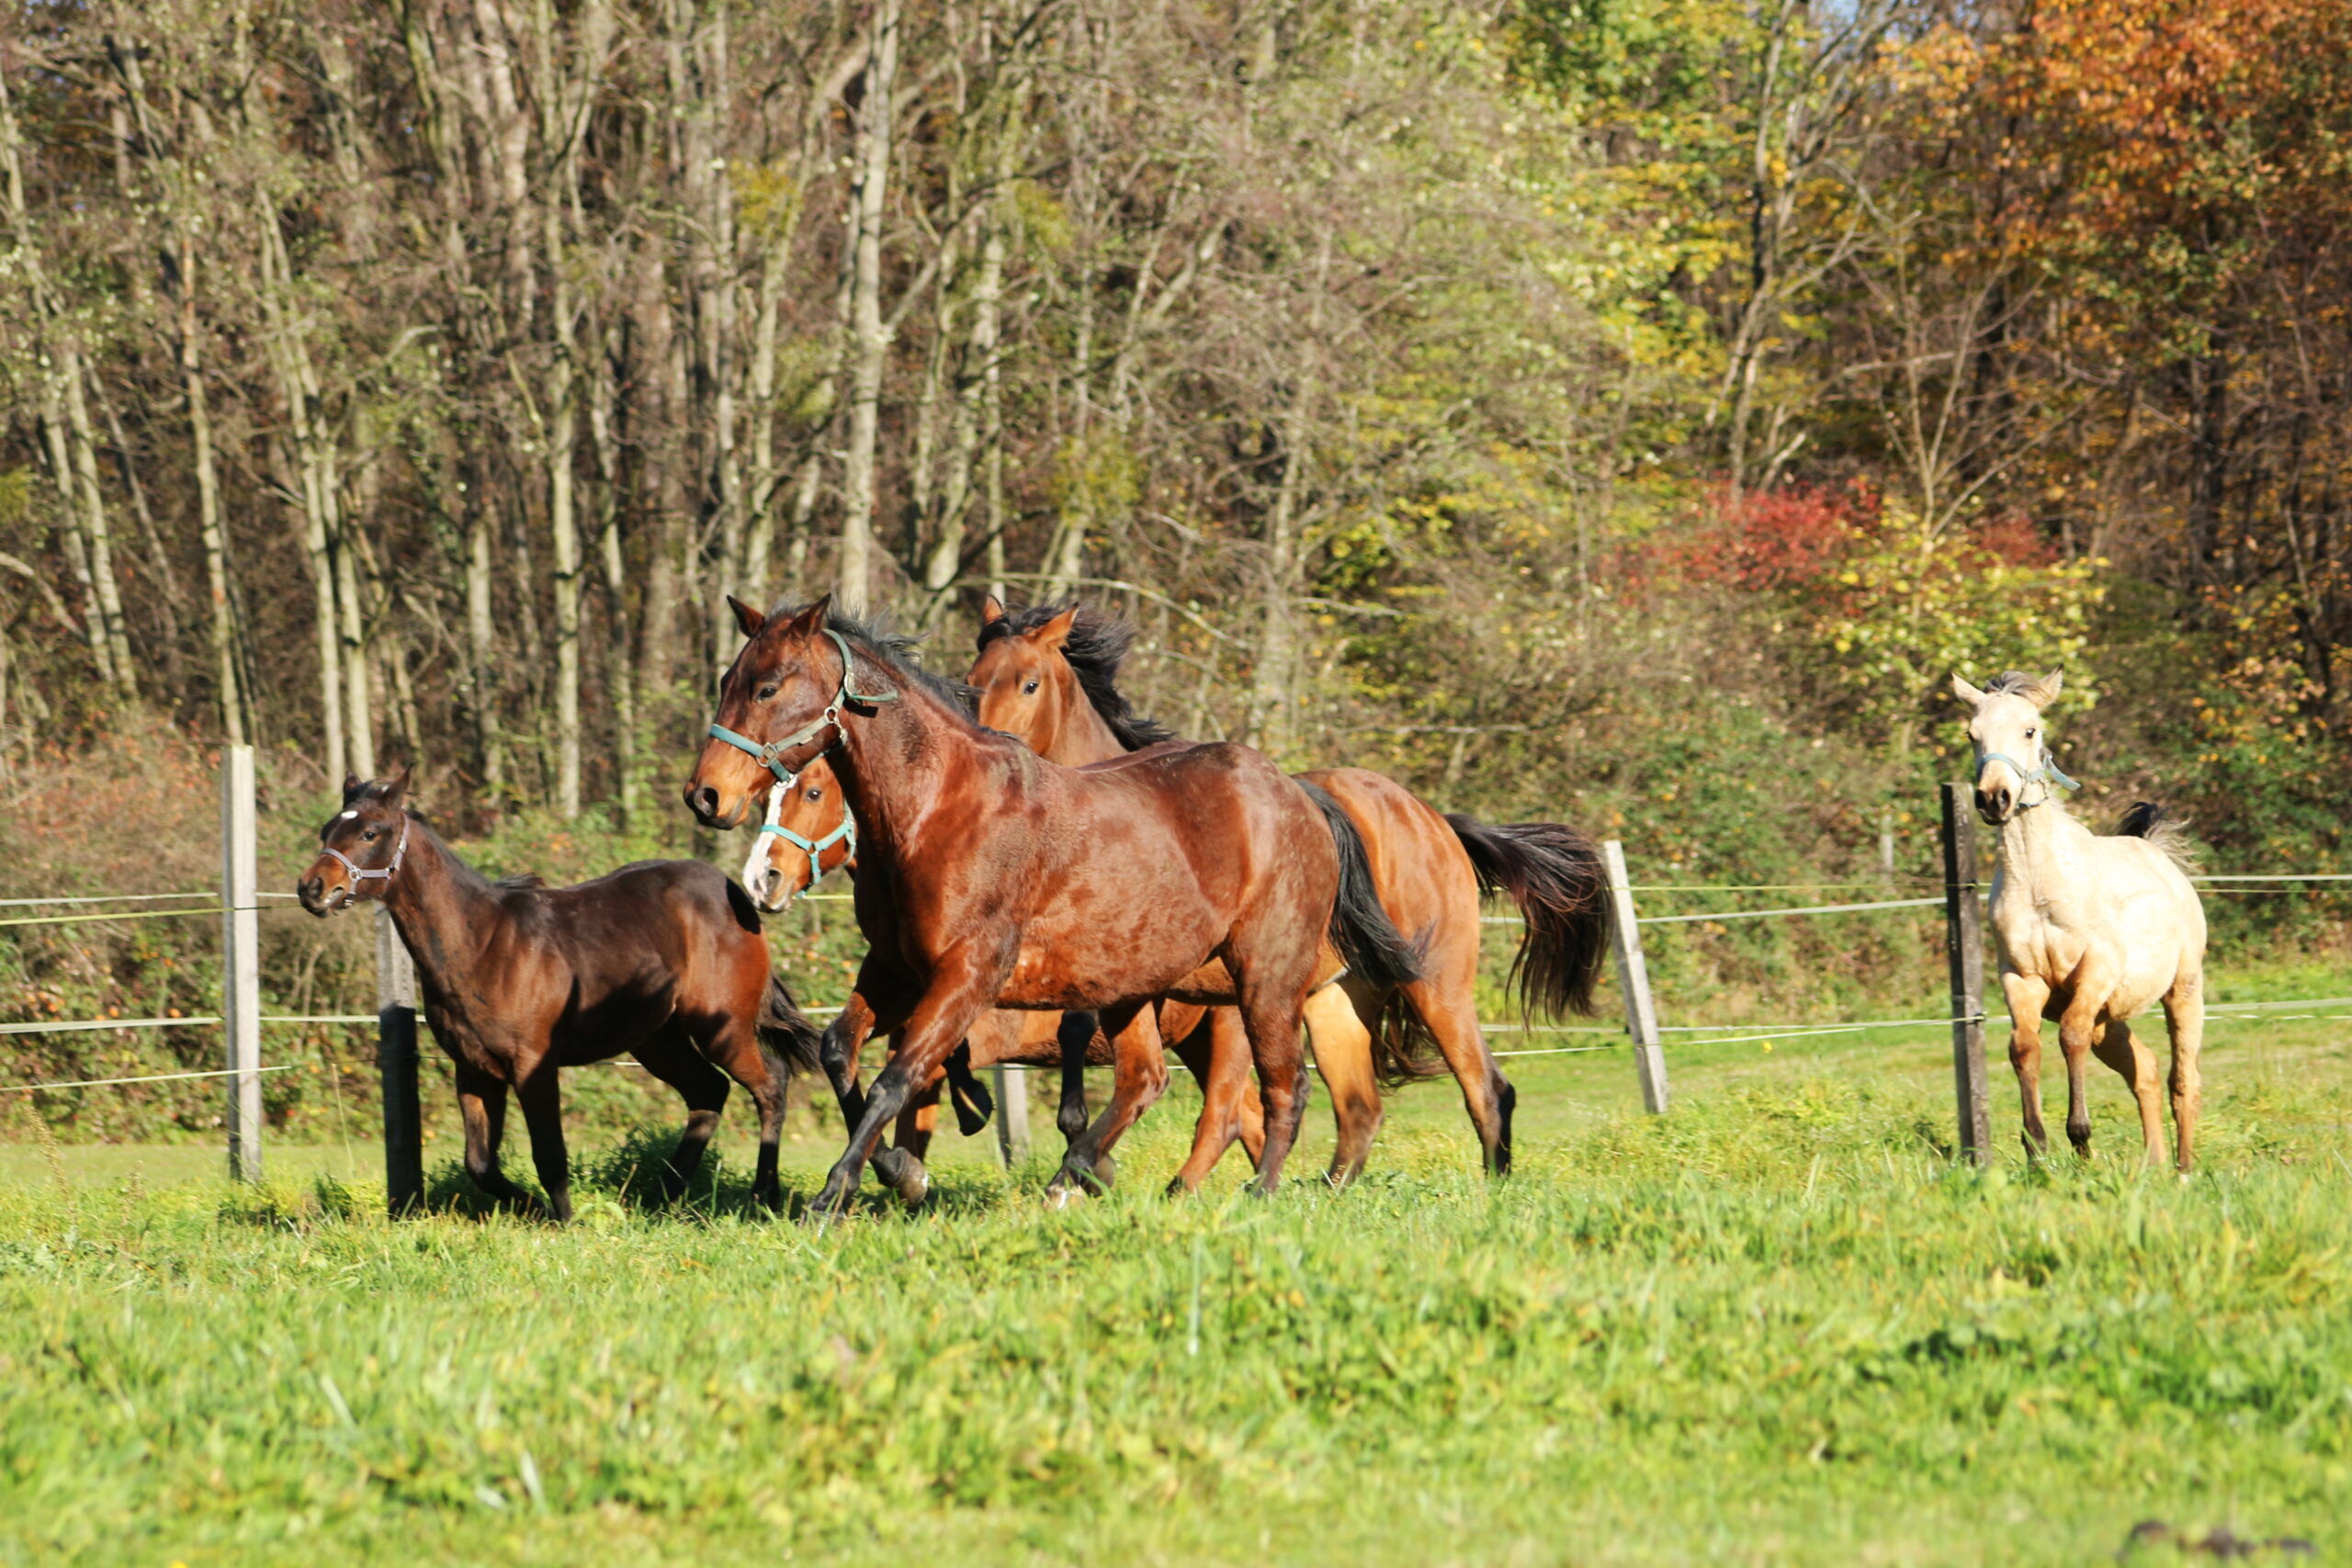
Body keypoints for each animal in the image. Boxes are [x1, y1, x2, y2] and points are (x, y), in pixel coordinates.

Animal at [299, 771, 823, 1213]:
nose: (313, 888)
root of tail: (739, 899)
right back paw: (664, 1197)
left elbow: (550, 1153)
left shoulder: (533, 1062)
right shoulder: (473, 1069)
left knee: (770, 1085)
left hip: (722, 1027)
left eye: (370, 833)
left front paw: (565, 1219)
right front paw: (532, 1208)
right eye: (327, 829)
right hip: (658, 1038)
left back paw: (762, 1196)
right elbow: (480, 1164)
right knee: (709, 1090)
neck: (481, 942)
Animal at [682, 594, 1411, 1222]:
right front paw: (901, 1171)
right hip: (1134, 989)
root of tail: (1298, 793)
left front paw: (834, 1195)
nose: (706, 795)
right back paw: (1076, 1177)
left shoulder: (969, 974)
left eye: (769, 687)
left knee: (1282, 1090)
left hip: (1263, 980)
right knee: (1147, 1079)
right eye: (728, 679)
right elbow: (842, 1053)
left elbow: (899, 1078)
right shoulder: (895, 970)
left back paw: (1254, 1195)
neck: (936, 810)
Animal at [959, 597, 1618, 1175]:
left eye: (1029, 684)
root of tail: (1436, 820)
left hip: (1436, 984)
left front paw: (1090, 1158)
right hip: (1338, 1000)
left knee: (1486, 1088)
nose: (994, 751)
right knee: (1359, 1110)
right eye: (972, 681)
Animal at [1947, 667, 2201, 1170]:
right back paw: (2154, 1168)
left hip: (2183, 992)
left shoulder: (2095, 971)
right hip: (2112, 1019)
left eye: (2030, 730)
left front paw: (2079, 1136)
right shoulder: (2022, 978)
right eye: (1971, 734)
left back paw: (2184, 1171)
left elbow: (2070, 1037)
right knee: (2145, 1069)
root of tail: (2159, 857)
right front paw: (2036, 1145)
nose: (1994, 798)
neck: (2041, 886)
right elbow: (2024, 1048)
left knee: (2183, 1082)